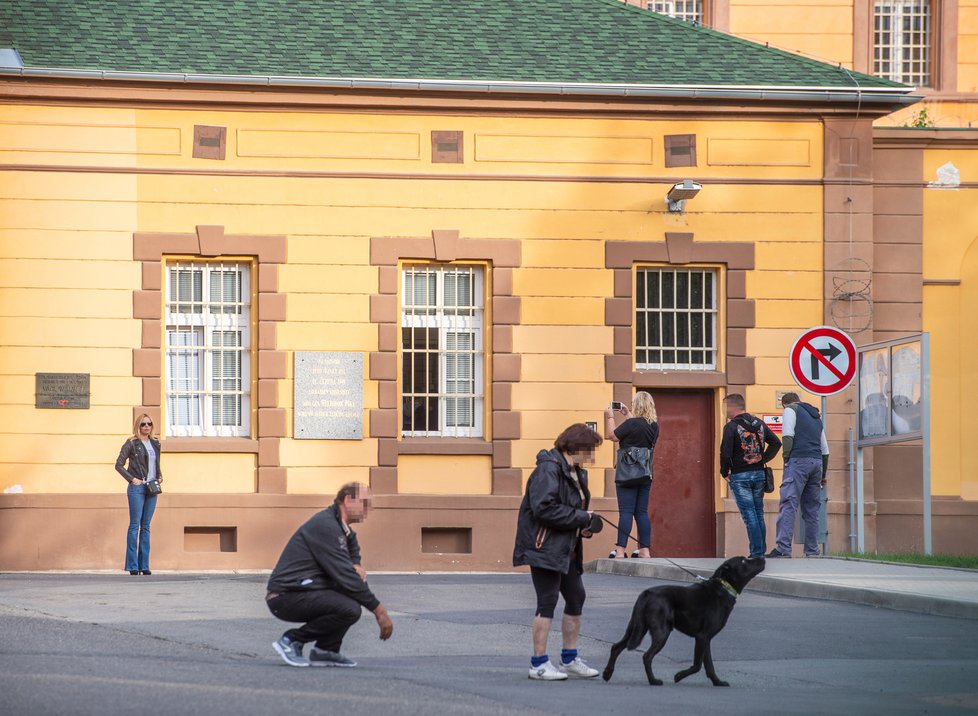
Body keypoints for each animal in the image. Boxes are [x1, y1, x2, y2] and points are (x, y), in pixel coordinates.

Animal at [604, 556, 764, 684]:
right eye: (743, 561)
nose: (762, 557)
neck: (724, 587)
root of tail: (647, 593)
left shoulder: (706, 639)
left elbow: (709, 666)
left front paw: (717, 682)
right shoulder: (701, 637)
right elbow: (697, 665)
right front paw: (679, 676)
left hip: (636, 627)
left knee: (616, 647)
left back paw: (607, 674)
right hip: (661, 632)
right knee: (647, 656)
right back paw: (653, 681)